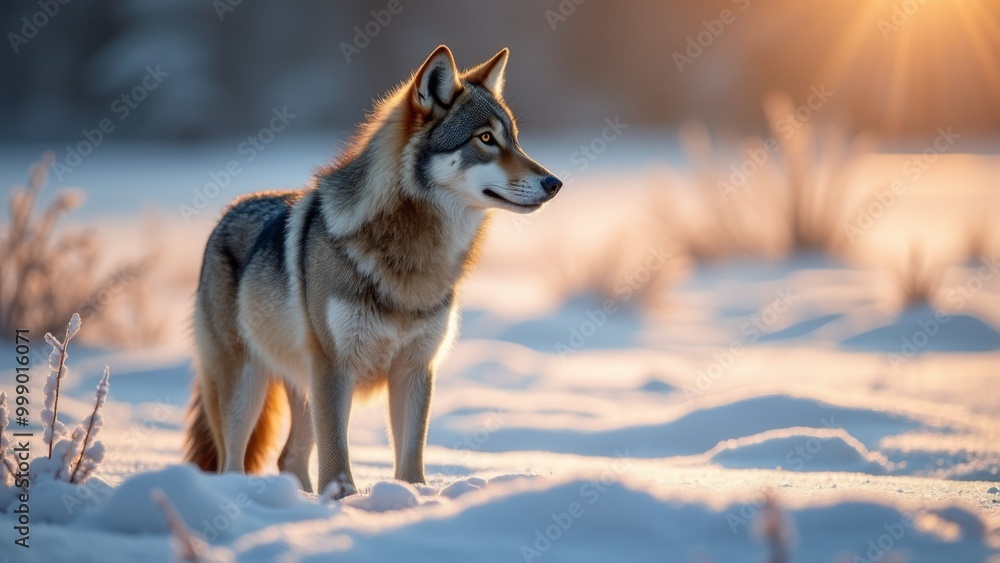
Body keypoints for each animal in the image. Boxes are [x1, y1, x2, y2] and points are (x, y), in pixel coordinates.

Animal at [184, 45, 562, 495]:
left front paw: (413, 497)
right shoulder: (334, 366)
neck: (413, 257)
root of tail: (228, 212)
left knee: (288, 458)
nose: (554, 183)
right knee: (232, 465)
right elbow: (337, 462)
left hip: (303, 388)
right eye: (485, 138)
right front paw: (344, 501)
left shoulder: (415, 369)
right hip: (249, 389)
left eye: (515, 140)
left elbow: (411, 461)